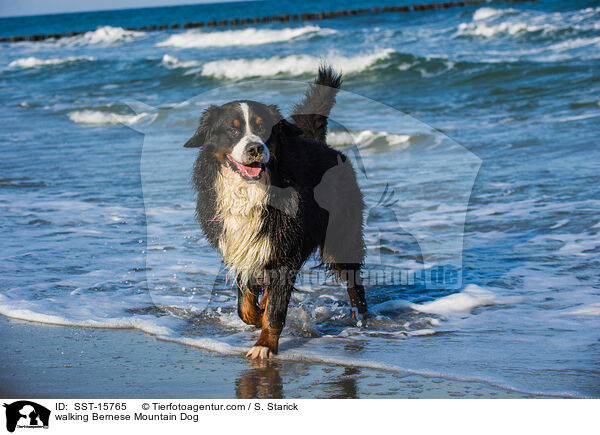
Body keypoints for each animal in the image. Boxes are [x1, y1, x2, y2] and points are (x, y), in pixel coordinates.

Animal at [185, 63, 368, 358]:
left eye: (264, 129)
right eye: (233, 131)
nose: (255, 148)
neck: (251, 190)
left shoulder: (283, 249)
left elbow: (275, 309)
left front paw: (264, 345)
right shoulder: (245, 246)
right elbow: (246, 306)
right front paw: (257, 314)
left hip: (341, 237)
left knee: (354, 282)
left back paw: (363, 318)